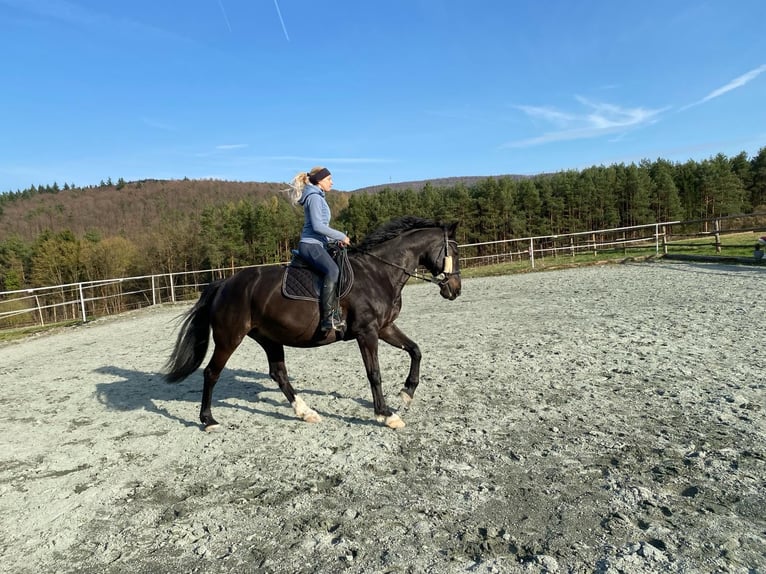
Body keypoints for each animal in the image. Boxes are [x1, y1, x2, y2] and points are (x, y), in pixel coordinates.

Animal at [164, 217, 462, 432]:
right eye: (455, 252)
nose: (455, 290)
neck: (379, 273)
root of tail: (223, 283)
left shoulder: (384, 327)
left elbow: (415, 350)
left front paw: (406, 394)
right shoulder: (367, 332)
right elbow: (374, 373)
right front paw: (386, 415)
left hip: (269, 338)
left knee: (279, 374)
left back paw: (305, 412)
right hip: (229, 339)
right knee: (211, 373)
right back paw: (208, 420)